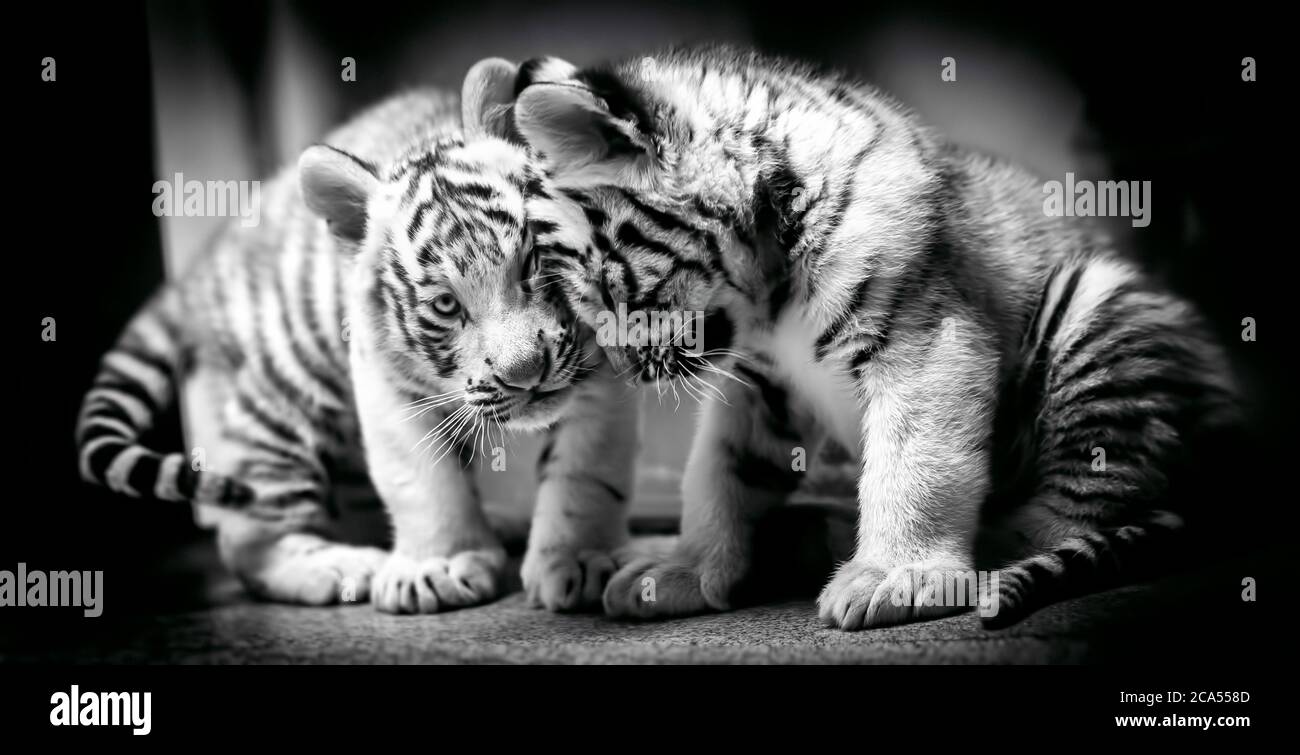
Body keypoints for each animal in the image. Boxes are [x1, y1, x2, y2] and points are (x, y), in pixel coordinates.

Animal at [75, 81, 638, 613]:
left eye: (532, 263)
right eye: (446, 305)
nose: (525, 374)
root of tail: (201, 270)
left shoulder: (595, 363)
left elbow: (584, 472)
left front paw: (580, 560)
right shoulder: (386, 384)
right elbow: (420, 481)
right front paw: (436, 567)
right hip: (286, 403)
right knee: (245, 536)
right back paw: (345, 568)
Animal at [460, 47, 1241, 629]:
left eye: (603, 288)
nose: (630, 368)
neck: (766, 295)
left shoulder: (926, 344)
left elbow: (914, 464)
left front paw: (897, 579)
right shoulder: (755, 387)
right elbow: (716, 477)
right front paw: (681, 568)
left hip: (1094, 311)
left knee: (1077, 513)